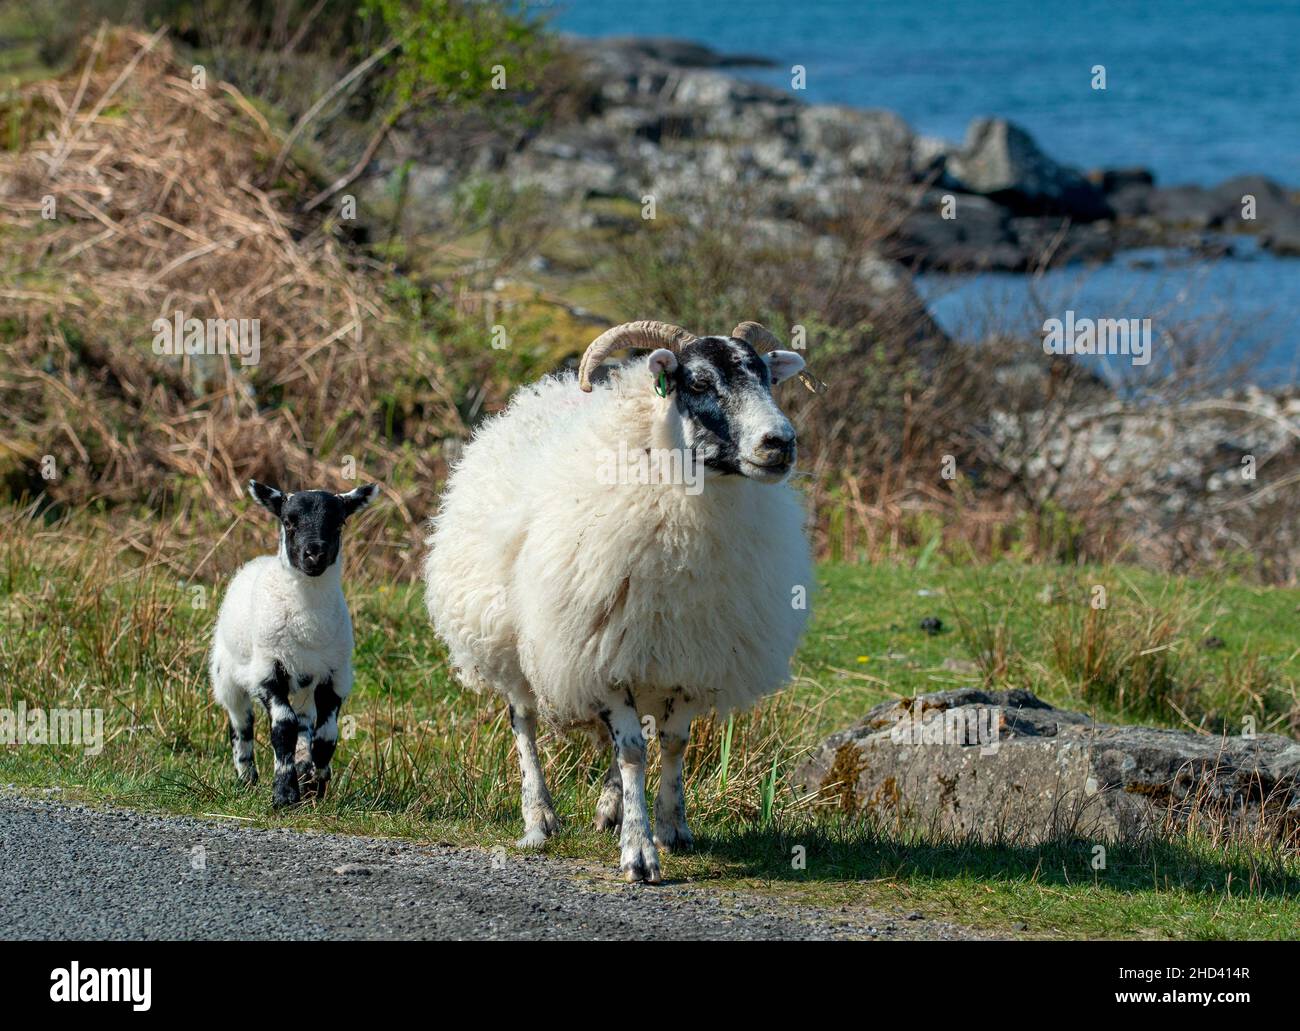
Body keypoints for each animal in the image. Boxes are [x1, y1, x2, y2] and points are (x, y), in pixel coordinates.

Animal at [208, 478, 379, 806]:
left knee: (304, 723)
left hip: (304, 684)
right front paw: (285, 794)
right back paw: (246, 778)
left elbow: (326, 737)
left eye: (338, 523)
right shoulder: (267, 671)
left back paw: (302, 767)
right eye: (288, 522)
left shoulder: (335, 676)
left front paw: (316, 786)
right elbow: (282, 728)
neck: (307, 623)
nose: (315, 553)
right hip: (227, 673)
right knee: (241, 723)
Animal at [426, 319, 811, 878]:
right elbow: (631, 752)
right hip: (511, 642)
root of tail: (541, 395)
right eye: (698, 382)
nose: (779, 443)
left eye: (767, 378)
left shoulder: (690, 657)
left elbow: (672, 743)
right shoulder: (596, 652)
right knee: (524, 725)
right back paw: (539, 819)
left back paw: (609, 807)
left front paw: (672, 828)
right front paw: (639, 851)